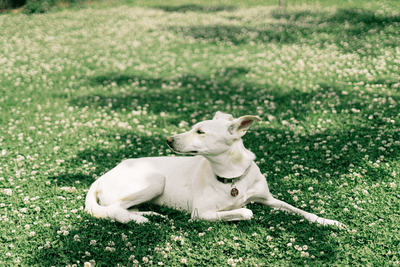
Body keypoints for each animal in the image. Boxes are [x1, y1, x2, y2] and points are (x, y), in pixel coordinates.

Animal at [86, 112, 342, 227]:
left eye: (200, 132)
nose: (168, 140)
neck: (233, 176)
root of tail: (101, 177)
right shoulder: (200, 213)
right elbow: (246, 211)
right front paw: (238, 210)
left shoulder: (269, 199)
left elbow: (301, 210)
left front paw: (329, 222)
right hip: (155, 180)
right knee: (115, 210)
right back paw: (140, 220)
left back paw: (147, 214)